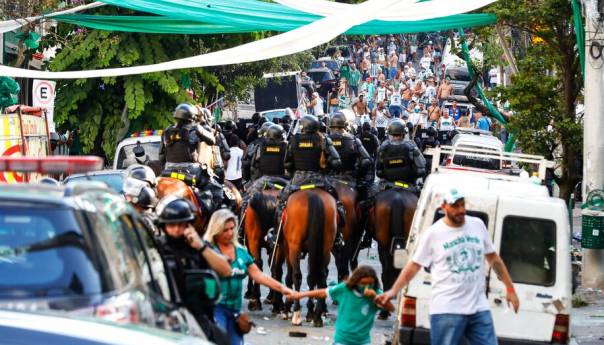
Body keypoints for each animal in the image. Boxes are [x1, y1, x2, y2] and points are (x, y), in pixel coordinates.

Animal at [282, 188, 338, 326]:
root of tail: (313, 196)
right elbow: (312, 278)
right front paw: (310, 312)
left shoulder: (287, 246)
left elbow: (289, 277)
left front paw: (287, 309)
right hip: (325, 247)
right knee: (320, 275)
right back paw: (317, 316)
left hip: (295, 247)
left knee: (297, 276)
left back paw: (296, 314)